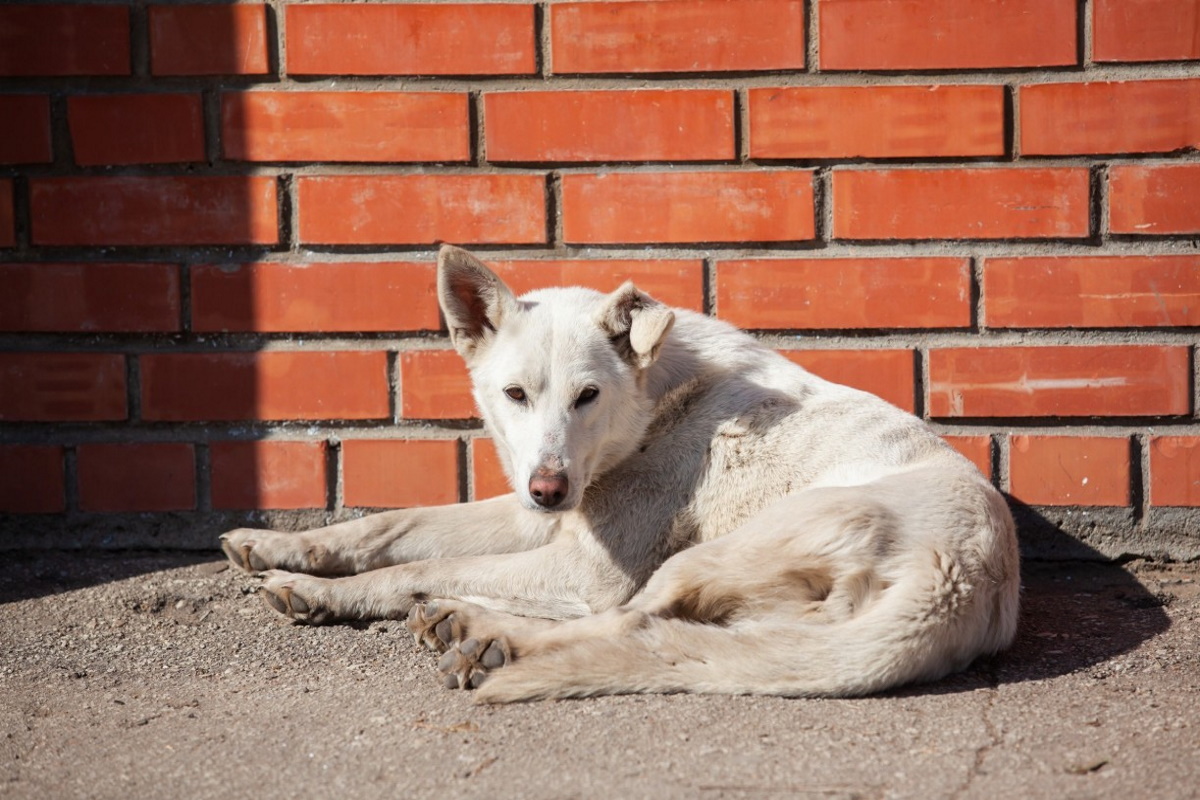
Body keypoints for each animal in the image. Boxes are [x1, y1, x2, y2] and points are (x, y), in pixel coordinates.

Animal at [220, 244, 1017, 700]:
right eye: (516, 394)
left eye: (587, 396)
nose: (549, 489)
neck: (651, 404)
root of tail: (957, 582)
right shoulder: (538, 516)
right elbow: (394, 525)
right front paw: (281, 548)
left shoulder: (586, 560)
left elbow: (416, 569)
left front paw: (324, 593)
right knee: (649, 629)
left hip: (719, 550)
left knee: (625, 618)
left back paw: (483, 633)